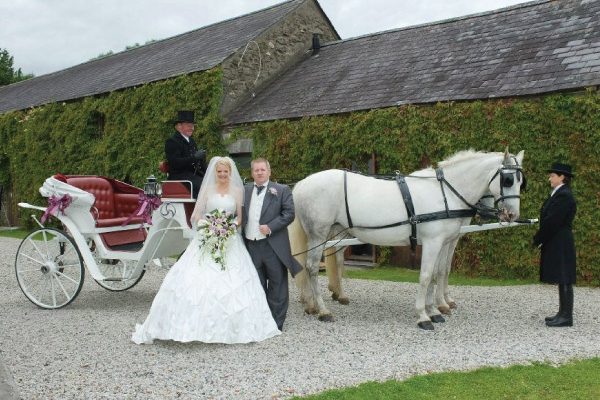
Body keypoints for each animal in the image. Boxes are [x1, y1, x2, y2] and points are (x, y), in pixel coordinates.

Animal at [288, 148, 524, 330]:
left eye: (522, 182)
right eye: (508, 179)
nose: (512, 215)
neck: (444, 193)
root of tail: (302, 184)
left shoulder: (444, 241)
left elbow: (439, 273)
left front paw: (436, 310)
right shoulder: (432, 242)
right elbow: (426, 276)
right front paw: (424, 315)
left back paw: (318, 302)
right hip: (317, 234)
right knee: (311, 267)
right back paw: (323, 310)